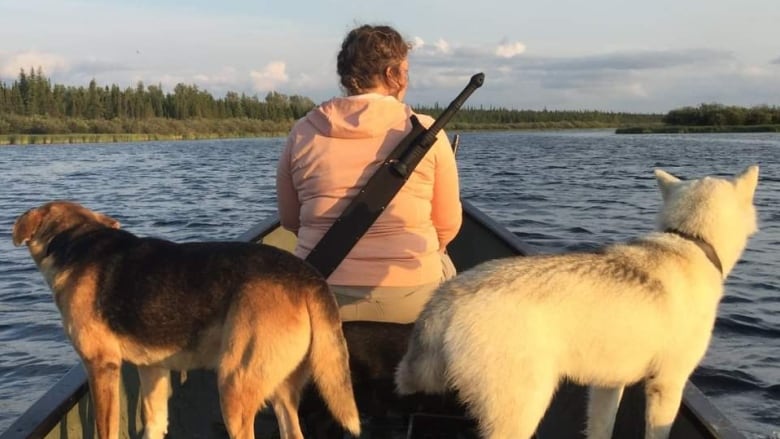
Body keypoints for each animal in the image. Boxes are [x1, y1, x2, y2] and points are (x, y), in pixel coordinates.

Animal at [12, 202, 360, 439]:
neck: (76, 240)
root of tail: (306, 277)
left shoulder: (101, 366)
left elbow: (105, 428)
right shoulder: (152, 369)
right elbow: (154, 423)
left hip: (234, 385)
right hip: (281, 391)